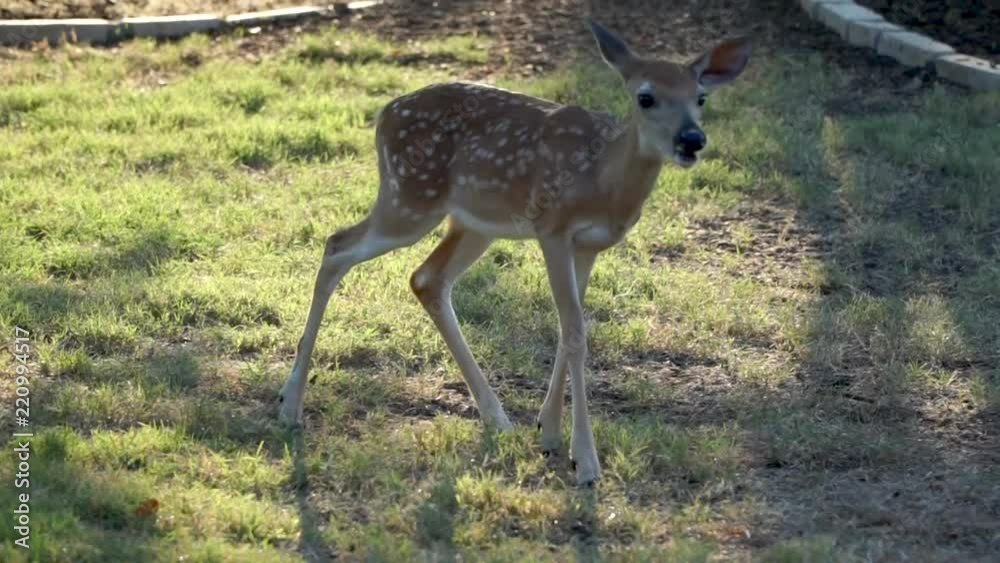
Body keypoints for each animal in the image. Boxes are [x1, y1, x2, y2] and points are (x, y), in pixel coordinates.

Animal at [278, 20, 752, 485]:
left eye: (701, 97)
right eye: (646, 97)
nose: (692, 139)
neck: (604, 182)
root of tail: (383, 114)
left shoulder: (589, 246)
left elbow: (569, 329)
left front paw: (550, 432)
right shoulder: (552, 227)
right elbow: (575, 332)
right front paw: (586, 462)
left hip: (472, 222)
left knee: (426, 278)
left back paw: (496, 417)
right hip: (409, 199)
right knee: (337, 246)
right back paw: (290, 403)